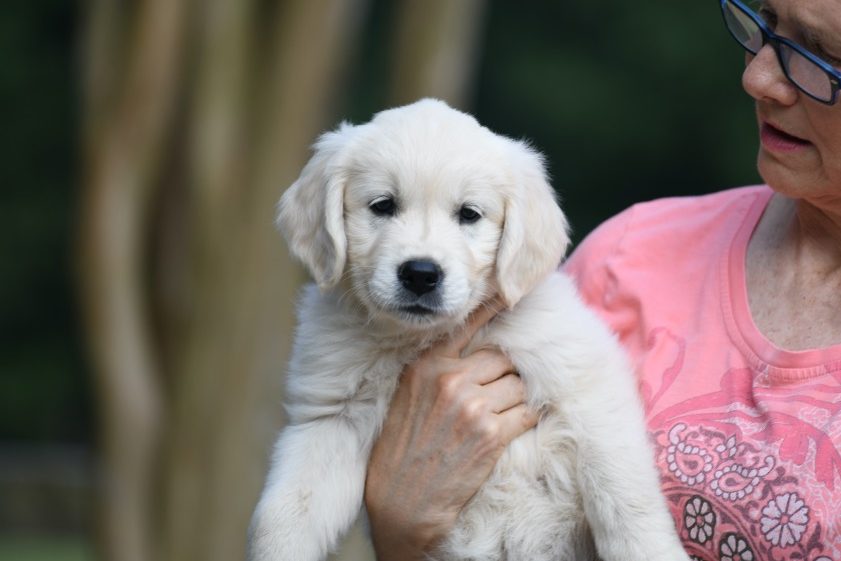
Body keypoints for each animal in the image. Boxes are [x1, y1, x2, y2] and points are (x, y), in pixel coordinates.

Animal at [246, 98, 684, 556]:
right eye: (382, 205)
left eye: (469, 214)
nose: (420, 274)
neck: (423, 337)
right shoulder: (331, 419)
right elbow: (282, 515)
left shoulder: (585, 382)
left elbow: (622, 493)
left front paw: (653, 551)